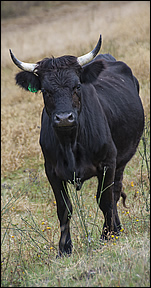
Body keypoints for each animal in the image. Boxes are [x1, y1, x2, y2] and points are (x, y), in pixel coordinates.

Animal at [9, 35, 144, 254]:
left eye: (77, 86)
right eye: (45, 91)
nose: (64, 118)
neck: (70, 143)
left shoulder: (108, 163)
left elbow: (104, 200)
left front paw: (107, 236)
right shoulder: (51, 171)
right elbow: (64, 209)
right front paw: (64, 248)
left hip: (120, 161)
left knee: (115, 193)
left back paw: (116, 229)